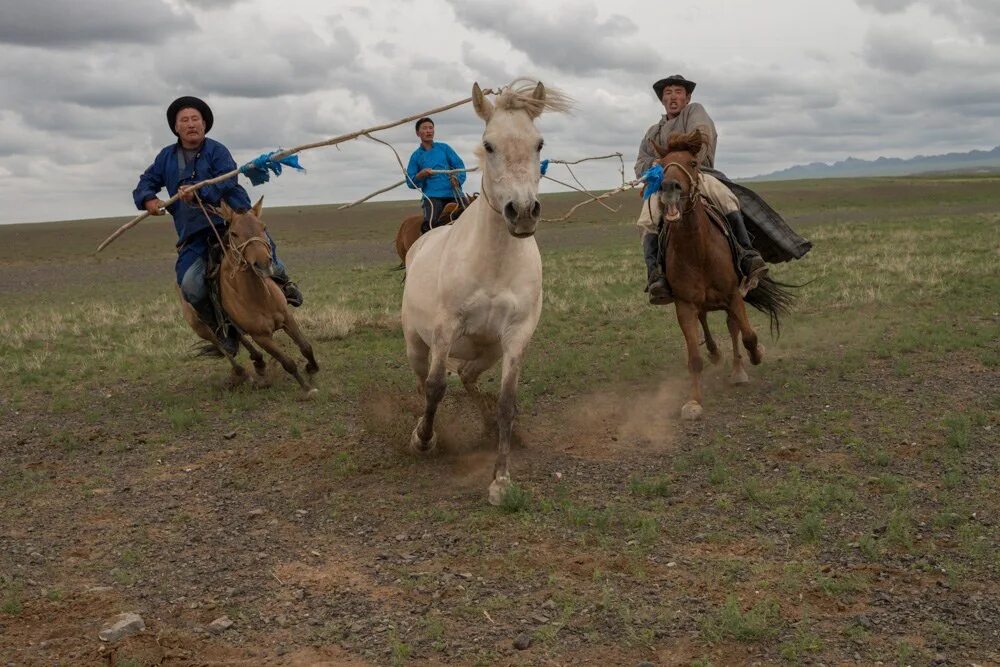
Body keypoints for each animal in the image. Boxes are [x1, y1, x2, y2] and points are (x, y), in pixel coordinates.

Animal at [180, 197, 318, 396]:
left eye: (263, 227)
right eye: (234, 233)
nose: (262, 263)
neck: (259, 297)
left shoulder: (287, 318)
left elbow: (306, 347)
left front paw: (312, 368)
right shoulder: (261, 336)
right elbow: (287, 362)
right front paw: (306, 388)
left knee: (238, 339)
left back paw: (258, 362)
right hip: (202, 329)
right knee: (224, 346)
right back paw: (242, 372)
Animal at [398, 79, 572, 506]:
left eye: (539, 143)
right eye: (489, 145)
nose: (522, 212)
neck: (494, 262)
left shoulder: (515, 337)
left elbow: (507, 402)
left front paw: (501, 480)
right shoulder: (446, 329)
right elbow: (435, 388)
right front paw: (423, 440)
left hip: (487, 351)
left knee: (467, 378)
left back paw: (487, 424)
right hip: (416, 344)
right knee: (424, 382)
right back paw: (426, 429)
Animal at [652, 132, 792, 420]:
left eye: (693, 163)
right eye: (660, 166)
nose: (669, 188)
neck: (698, 251)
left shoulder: (733, 295)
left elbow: (748, 336)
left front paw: (757, 355)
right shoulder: (684, 305)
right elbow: (694, 358)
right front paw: (694, 401)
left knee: (734, 328)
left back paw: (738, 370)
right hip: (703, 303)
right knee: (707, 322)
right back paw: (716, 354)